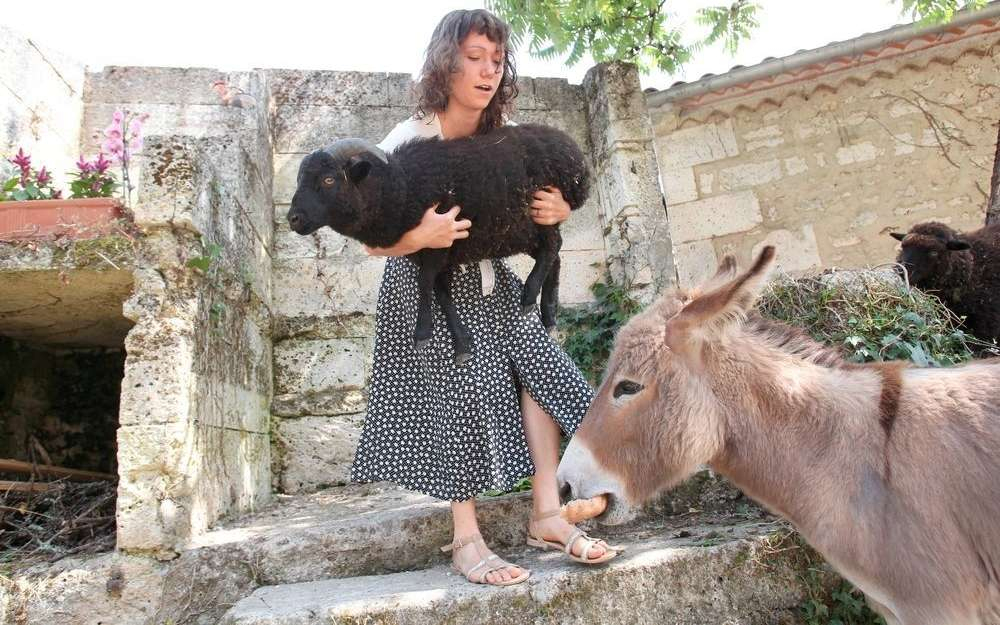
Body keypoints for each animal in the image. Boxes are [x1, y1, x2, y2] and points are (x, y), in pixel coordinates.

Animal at [286, 122, 588, 364]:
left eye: (329, 179)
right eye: (299, 180)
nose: (294, 219)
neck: (401, 188)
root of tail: (575, 154)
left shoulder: (438, 246)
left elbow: (425, 284)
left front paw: (422, 333)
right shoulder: (444, 251)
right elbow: (442, 294)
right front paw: (462, 345)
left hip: (541, 213)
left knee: (553, 246)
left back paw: (529, 295)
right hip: (520, 232)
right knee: (555, 255)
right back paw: (549, 313)